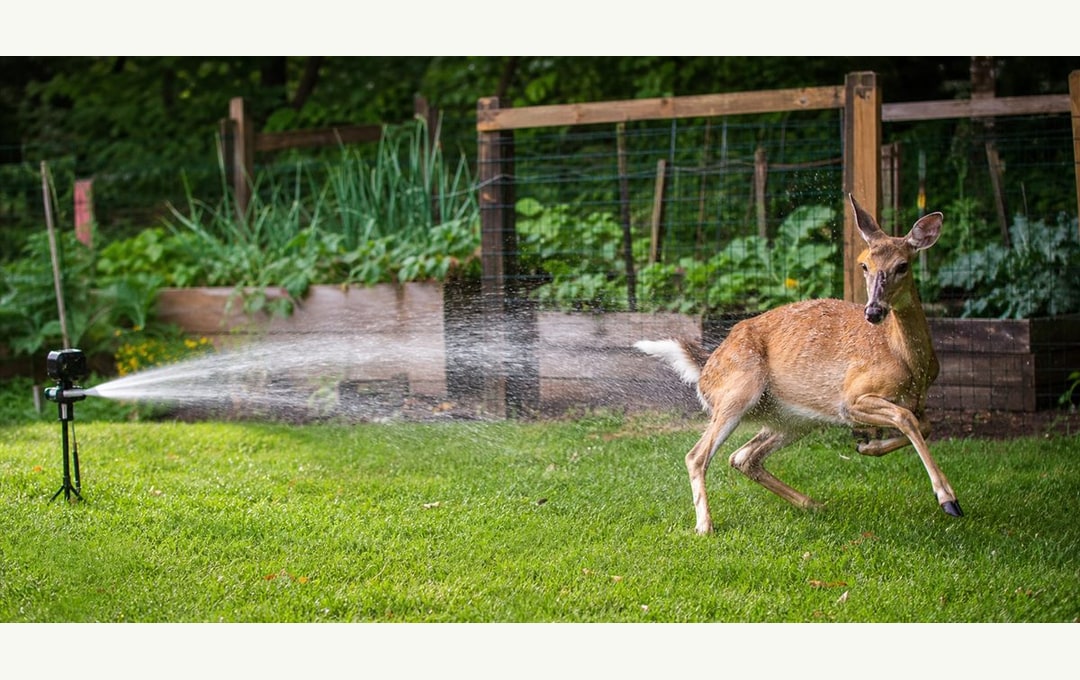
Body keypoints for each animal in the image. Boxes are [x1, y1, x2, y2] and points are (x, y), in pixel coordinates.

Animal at [634, 194, 962, 534]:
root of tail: (706, 368)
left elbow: (924, 424)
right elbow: (906, 419)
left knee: (743, 456)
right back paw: (705, 526)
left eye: (902, 266)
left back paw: (814, 504)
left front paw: (866, 446)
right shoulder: (851, 398)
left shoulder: (916, 400)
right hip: (740, 389)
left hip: (793, 418)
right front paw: (948, 499)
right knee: (697, 455)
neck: (909, 363)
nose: (873, 311)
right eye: (864, 265)